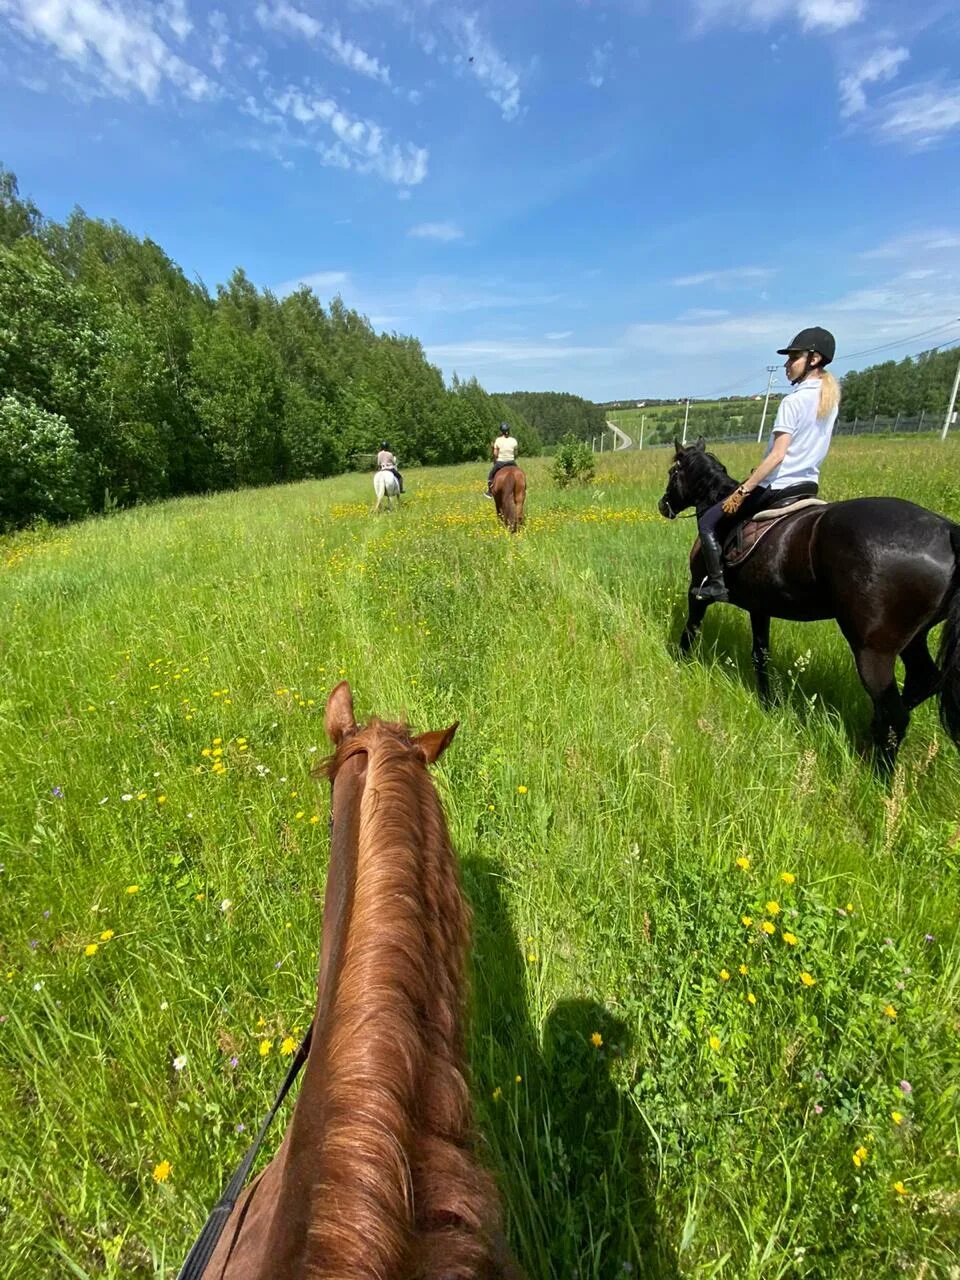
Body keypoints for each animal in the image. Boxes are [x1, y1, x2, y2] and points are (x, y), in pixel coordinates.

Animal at [660, 440, 960, 768]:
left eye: (673, 472)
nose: (663, 505)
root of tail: (947, 532)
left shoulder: (697, 592)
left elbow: (691, 631)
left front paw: (679, 665)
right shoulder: (760, 608)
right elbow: (761, 655)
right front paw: (768, 703)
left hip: (873, 650)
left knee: (895, 714)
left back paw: (878, 773)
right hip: (913, 638)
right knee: (922, 683)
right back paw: (868, 737)